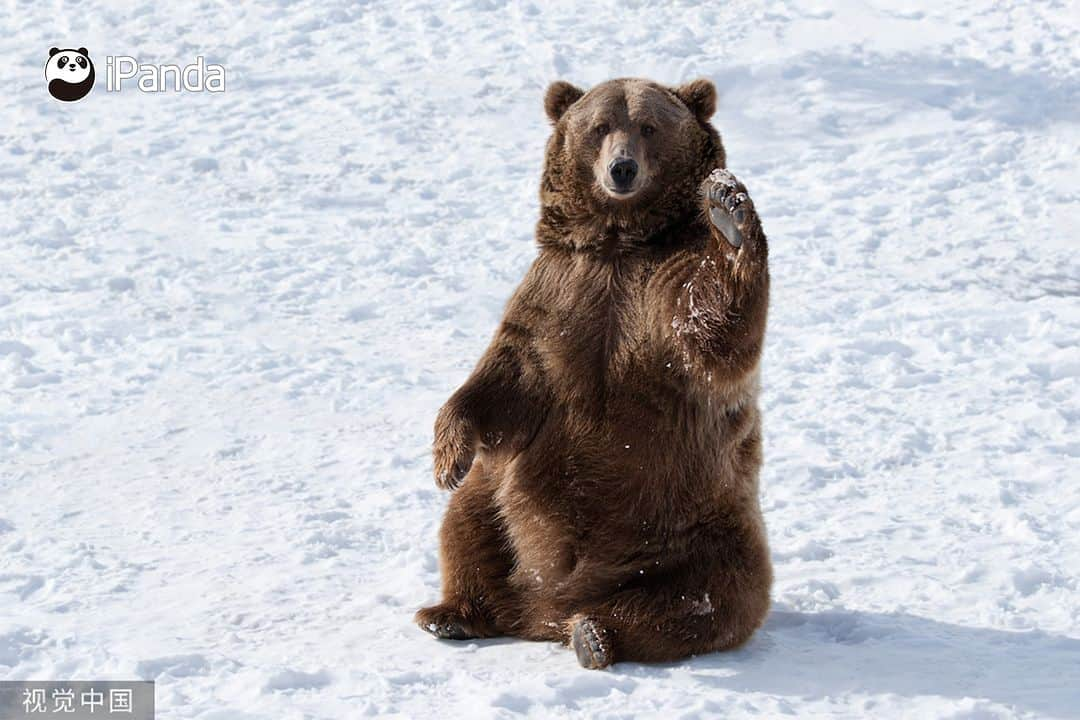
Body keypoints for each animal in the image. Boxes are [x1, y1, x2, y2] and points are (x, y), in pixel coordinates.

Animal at [416, 76, 773, 669]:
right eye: (600, 125)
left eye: (648, 126)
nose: (621, 168)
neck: (618, 243)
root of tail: (544, 610)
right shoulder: (558, 292)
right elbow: (505, 376)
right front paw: (447, 457)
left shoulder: (659, 291)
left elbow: (713, 331)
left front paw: (728, 210)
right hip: (500, 502)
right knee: (468, 526)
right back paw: (453, 612)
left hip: (698, 528)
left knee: (708, 597)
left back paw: (595, 634)